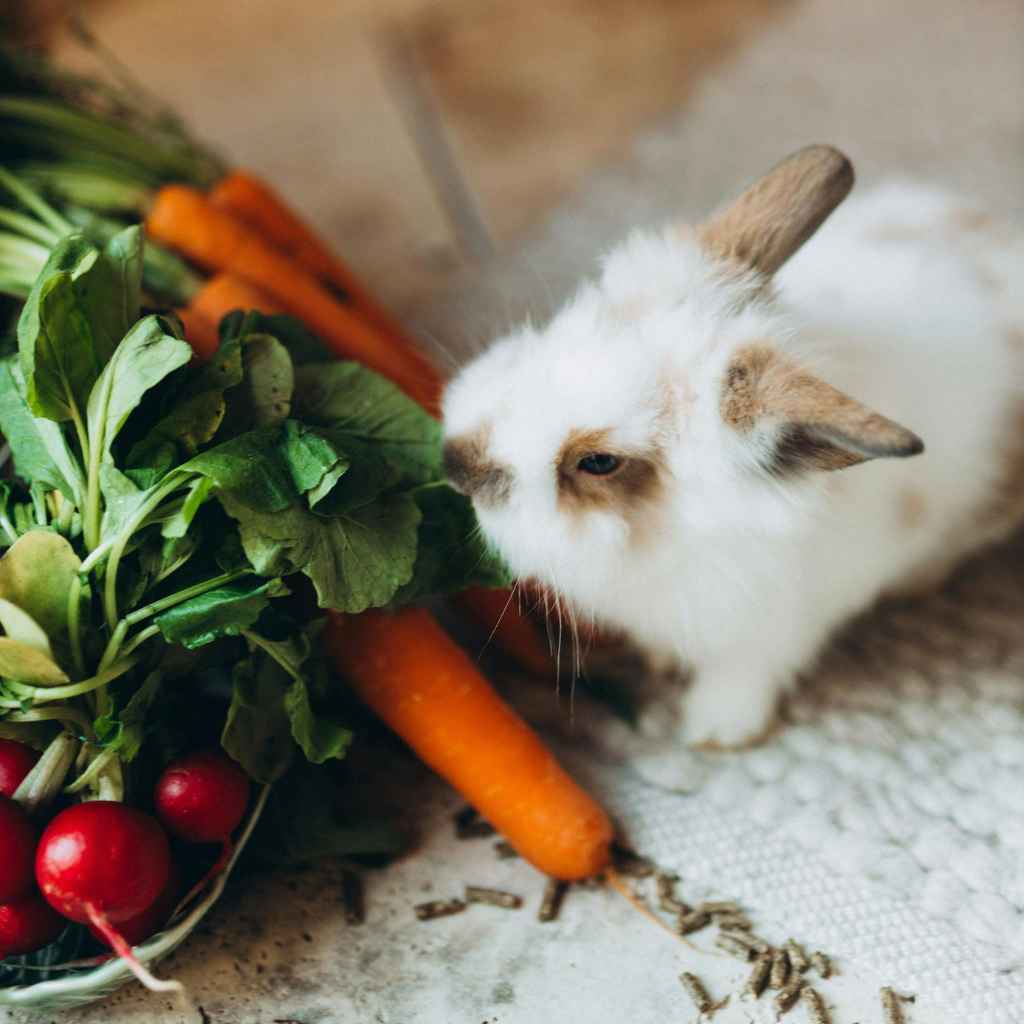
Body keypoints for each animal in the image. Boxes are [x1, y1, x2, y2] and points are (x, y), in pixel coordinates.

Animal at [441, 145, 1024, 749]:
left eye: (599, 462)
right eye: (563, 331)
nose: (456, 463)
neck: (671, 531)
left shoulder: (771, 628)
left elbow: (743, 673)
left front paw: (717, 731)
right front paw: (660, 663)